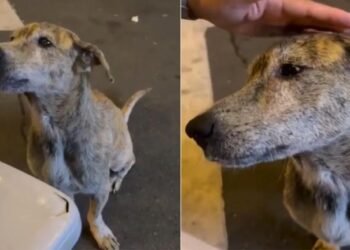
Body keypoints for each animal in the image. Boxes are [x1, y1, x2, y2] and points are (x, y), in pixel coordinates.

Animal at [0, 22, 150, 249]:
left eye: (45, 42)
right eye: (11, 38)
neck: (54, 131)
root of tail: (120, 114)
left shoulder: (99, 190)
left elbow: (94, 214)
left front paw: (101, 234)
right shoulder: (61, 188)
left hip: (120, 155)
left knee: (129, 162)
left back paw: (116, 179)